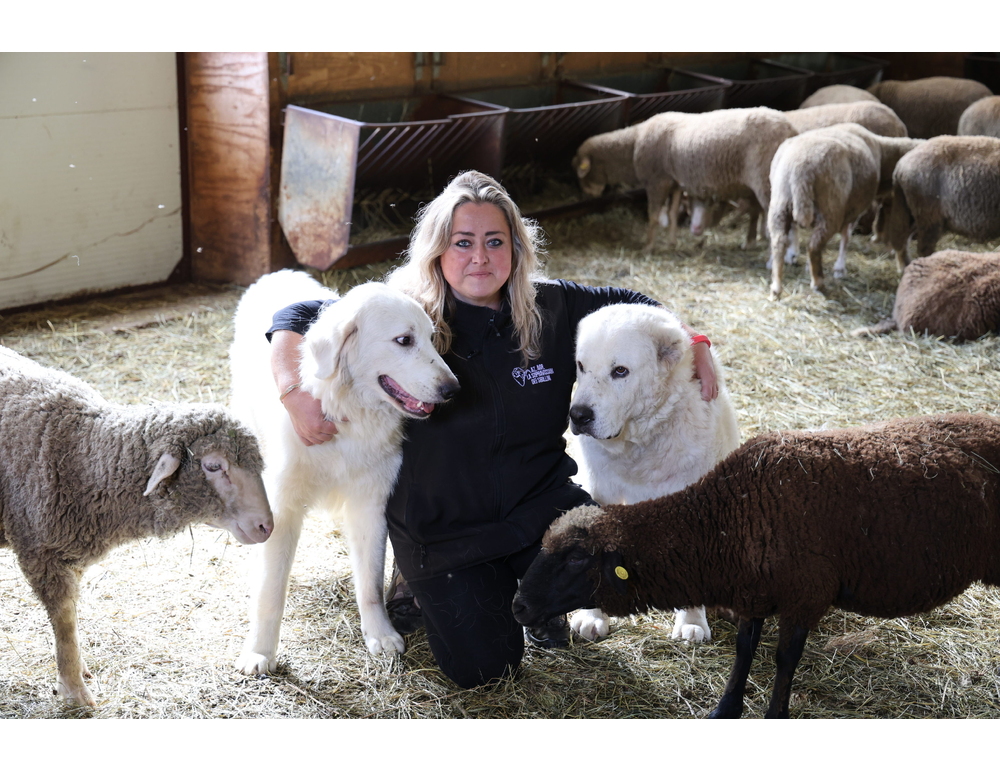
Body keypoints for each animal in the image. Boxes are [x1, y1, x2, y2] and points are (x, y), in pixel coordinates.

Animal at [0, 345, 274, 707]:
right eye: (214, 466)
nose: (266, 526)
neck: (80, 452)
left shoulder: (67, 555)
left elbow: (71, 617)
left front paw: (77, 670)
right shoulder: (38, 552)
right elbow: (64, 621)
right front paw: (74, 690)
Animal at [512, 412, 1000, 719]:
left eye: (577, 558)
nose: (518, 606)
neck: (724, 518)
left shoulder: (805, 594)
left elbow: (785, 659)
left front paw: (774, 714)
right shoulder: (752, 589)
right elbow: (744, 650)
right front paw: (725, 709)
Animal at [573, 107, 798, 251]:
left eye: (582, 172)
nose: (586, 194)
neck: (634, 143)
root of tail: (791, 129)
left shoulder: (657, 182)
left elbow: (653, 215)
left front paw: (648, 246)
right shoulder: (674, 183)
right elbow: (672, 214)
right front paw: (671, 243)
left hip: (765, 181)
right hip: (754, 185)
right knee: (757, 212)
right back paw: (752, 243)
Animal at [767, 122, 923, 298]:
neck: (883, 154)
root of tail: (800, 168)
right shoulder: (853, 208)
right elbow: (846, 236)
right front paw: (839, 268)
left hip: (780, 204)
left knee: (779, 242)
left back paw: (776, 287)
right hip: (831, 209)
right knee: (813, 246)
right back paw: (818, 283)